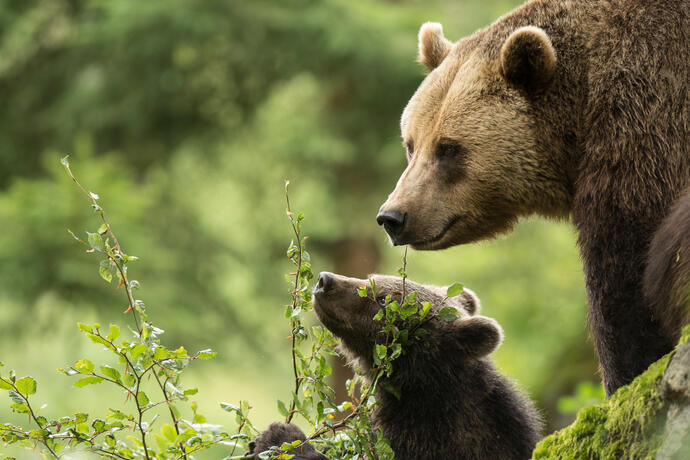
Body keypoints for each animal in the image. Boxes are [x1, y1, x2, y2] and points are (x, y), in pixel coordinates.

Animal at [376, 0, 688, 396]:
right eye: (410, 144)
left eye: (448, 148)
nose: (393, 216)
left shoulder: (648, 106)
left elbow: (628, 257)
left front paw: (629, 373)